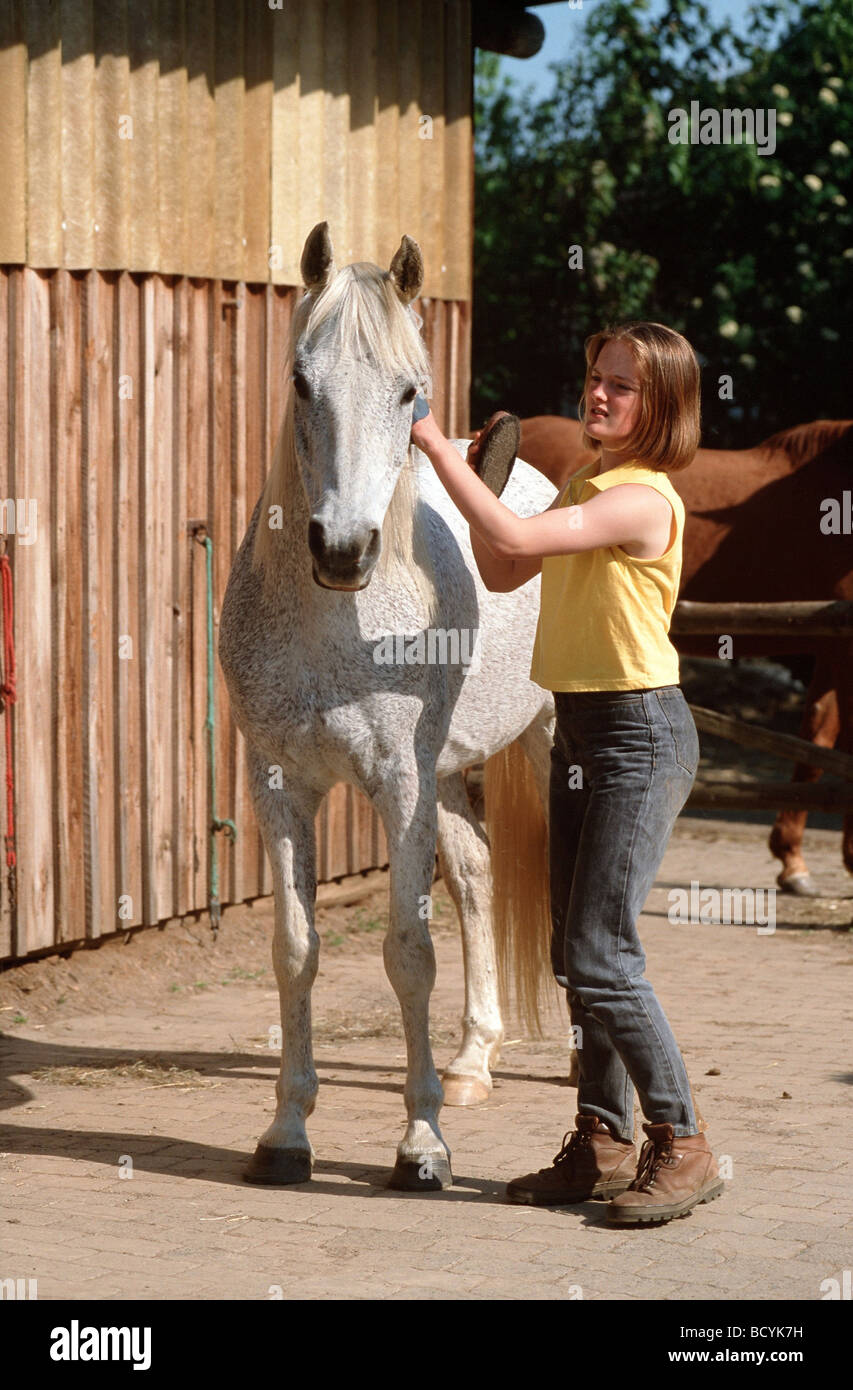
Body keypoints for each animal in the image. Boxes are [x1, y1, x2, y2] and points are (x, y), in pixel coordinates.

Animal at [218, 223, 557, 1190]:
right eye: (301, 380)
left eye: (410, 391)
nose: (342, 549)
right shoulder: (281, 786)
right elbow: (296, 952)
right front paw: (286, 1134)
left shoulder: (397, 787)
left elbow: (409, 952)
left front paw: (421, 1146)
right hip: (445, 777)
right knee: (477, 880)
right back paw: (474, 1060)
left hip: (543, 746)